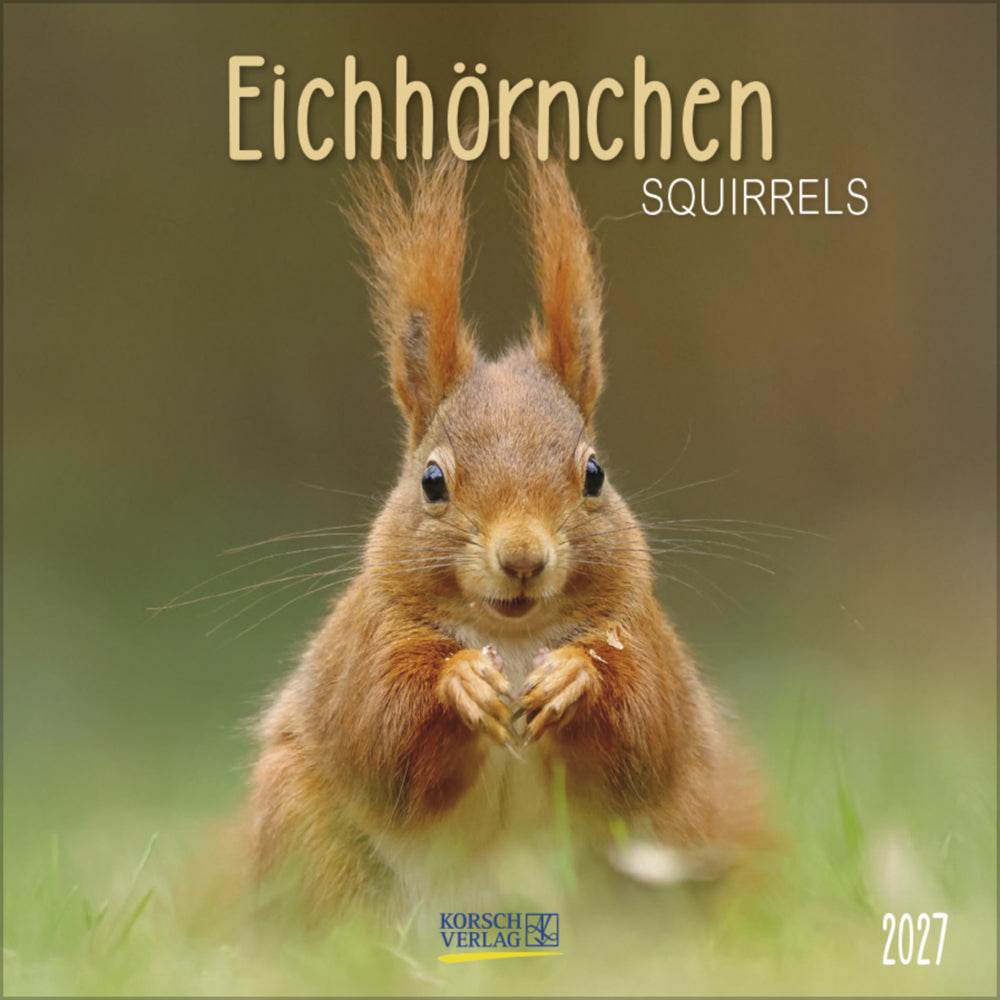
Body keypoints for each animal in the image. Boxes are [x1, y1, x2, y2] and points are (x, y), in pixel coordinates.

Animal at [248, 131, 765, 920]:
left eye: (594, 474)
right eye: (432, 481)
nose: (522, 559)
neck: (514, 639)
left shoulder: (645, 638)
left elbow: (645, 723)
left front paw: (575, 677)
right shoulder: (364, 642)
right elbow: (379, 725)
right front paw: (460, 681)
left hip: (687, 825)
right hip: (301, 818)